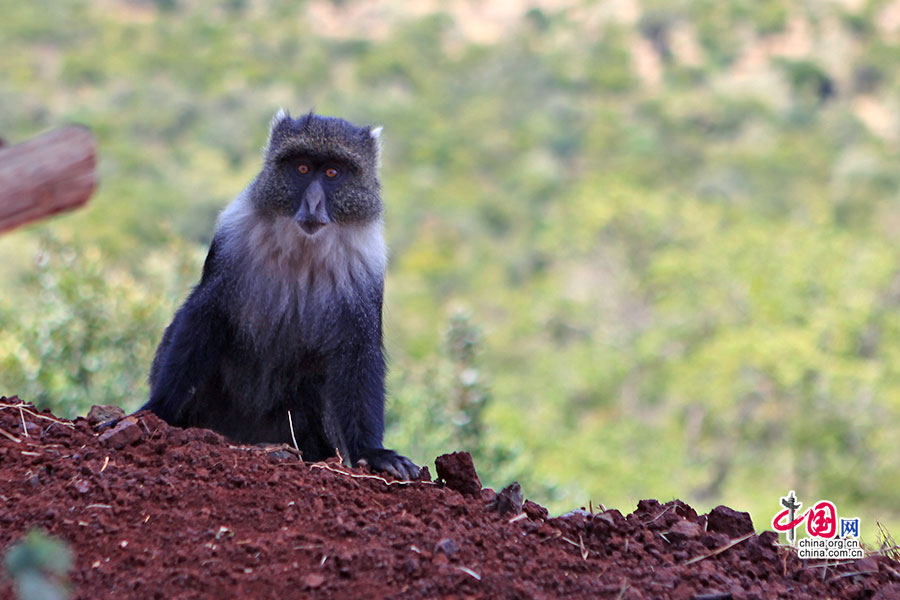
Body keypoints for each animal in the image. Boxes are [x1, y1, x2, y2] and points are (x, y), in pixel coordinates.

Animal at [139, 110, 420, 480]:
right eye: (301, 168)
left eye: (332, 173)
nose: (313, 203)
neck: (303, 245)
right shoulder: (233, 239)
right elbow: (205, 315)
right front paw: (157, 409)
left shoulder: (365, 267)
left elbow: (358, 350)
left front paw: (372, 452)